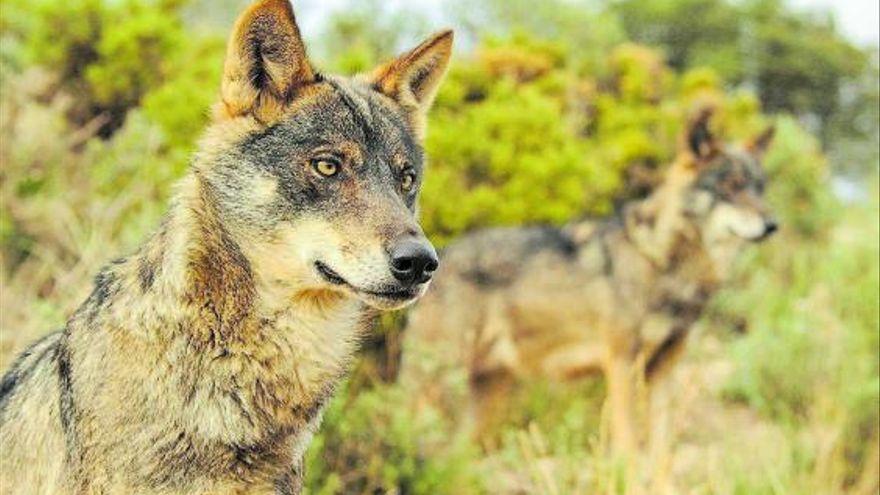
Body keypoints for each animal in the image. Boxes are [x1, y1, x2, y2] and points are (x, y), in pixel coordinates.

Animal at [398, 110, 776, 456]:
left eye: (759, 188)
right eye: (730, 186)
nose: (773, 224)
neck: (660, 261)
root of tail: (439, 256)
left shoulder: (665, 369)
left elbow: (661, 452)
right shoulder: (622, 364)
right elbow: (629, 448)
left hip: (484, 398)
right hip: (438, 385)